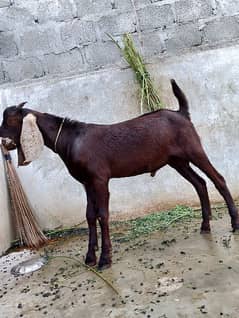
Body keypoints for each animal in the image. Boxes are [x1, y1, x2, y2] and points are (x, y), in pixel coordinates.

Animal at [0, 79, 239, 268]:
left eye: (10, 119)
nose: (1, 139)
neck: (72, 140)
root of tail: (182, 113)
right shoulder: (86, 182)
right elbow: (89, 215)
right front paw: (90, 256)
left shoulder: (99, 179)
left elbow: (103, 215)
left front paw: (105, 258)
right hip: (176, 160)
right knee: (199, 183)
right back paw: (205, 225)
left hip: (193, 148)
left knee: (218, 179)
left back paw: (234, 223)